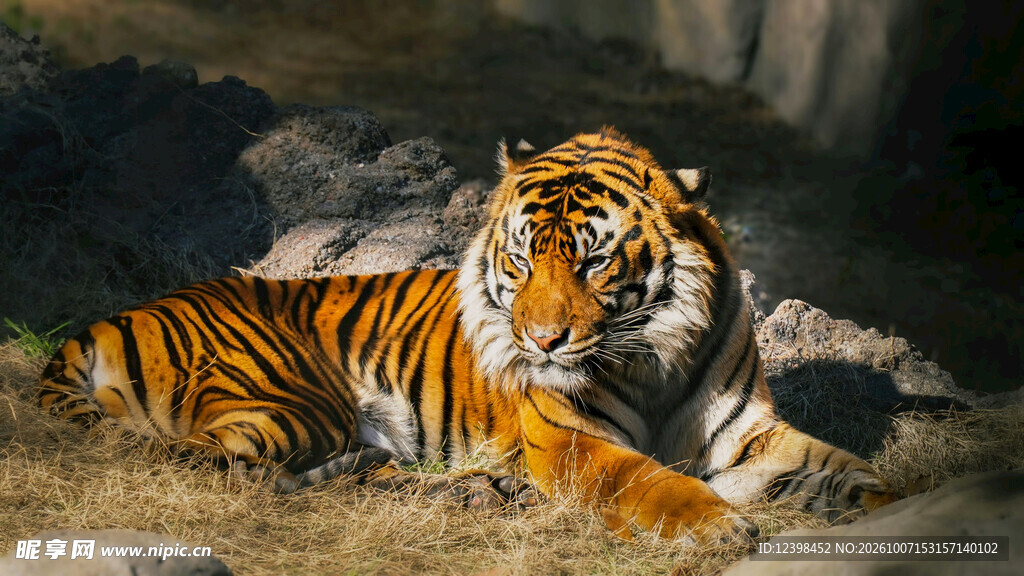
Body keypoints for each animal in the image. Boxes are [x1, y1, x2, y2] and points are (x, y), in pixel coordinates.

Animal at [39, 128, 894, 543]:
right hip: (292, 403)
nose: (542, 344)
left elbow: (845, 469)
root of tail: (108, 319)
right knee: (223, 470)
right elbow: (649, 481)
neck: (655, 357)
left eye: (594, 262)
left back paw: (475, 489)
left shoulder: (750, 438)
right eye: (521, 258)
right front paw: (716, 527)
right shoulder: (569, 439)